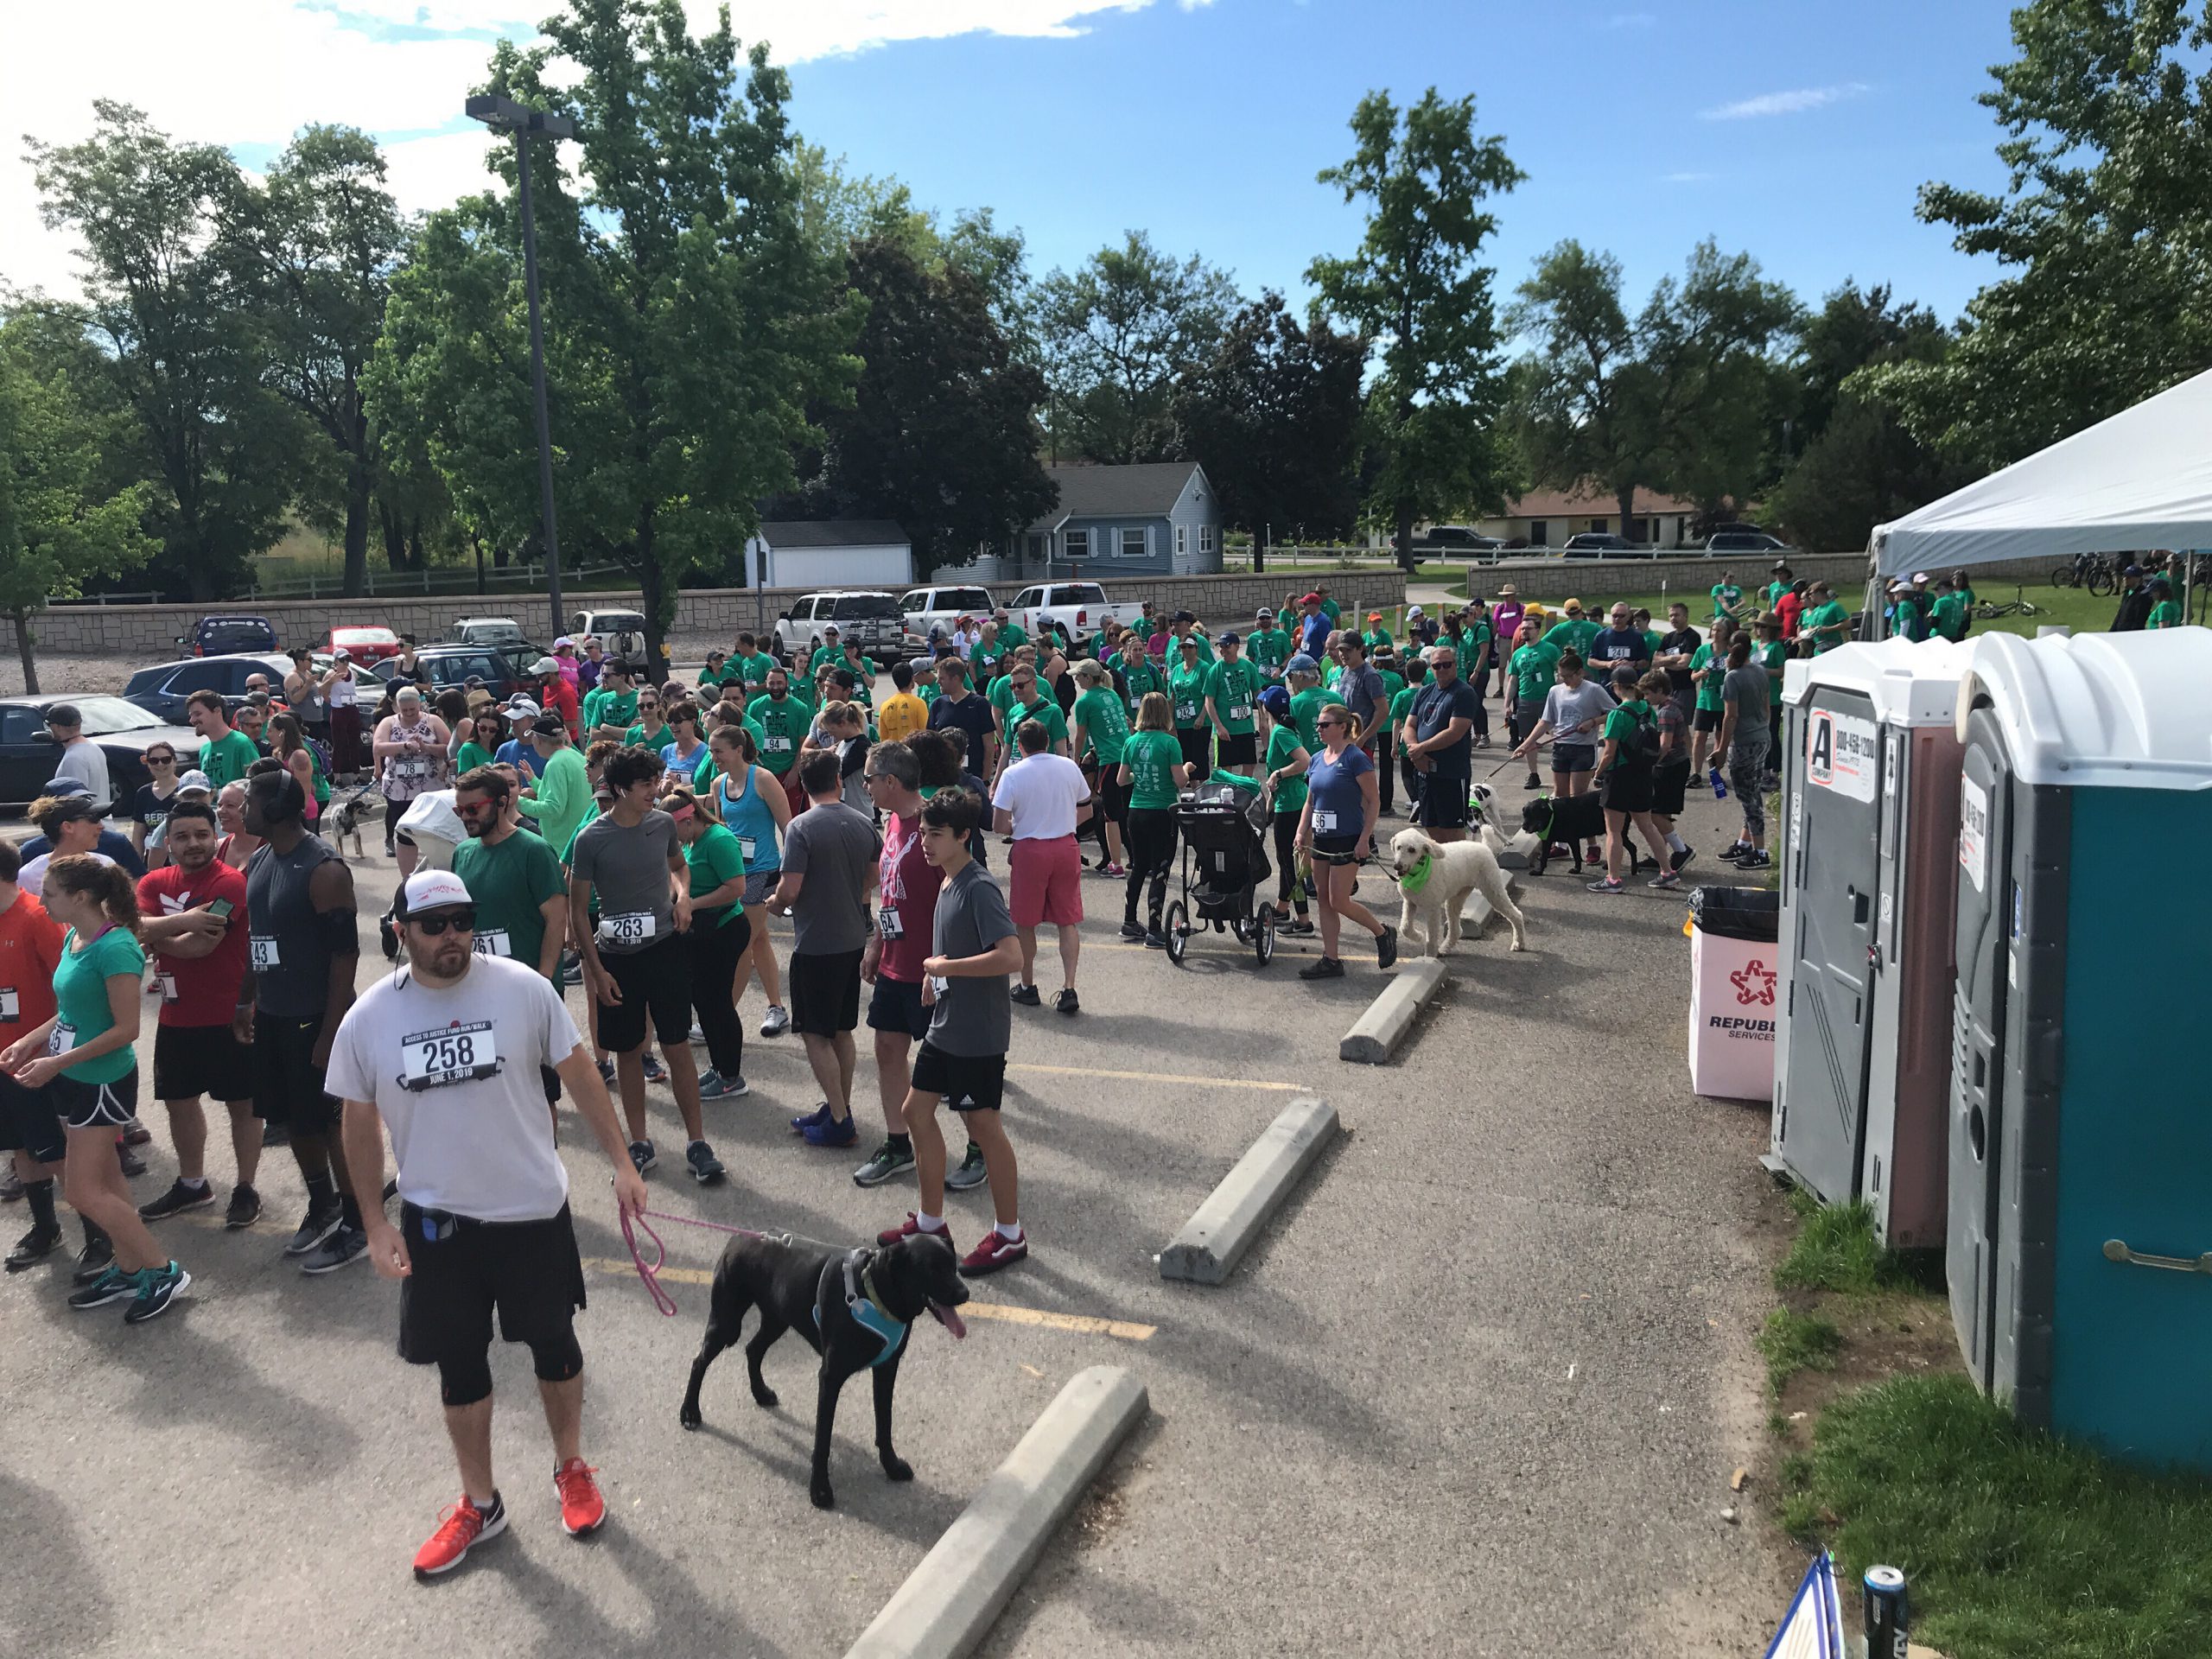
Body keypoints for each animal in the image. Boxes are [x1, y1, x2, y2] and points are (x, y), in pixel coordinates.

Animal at [672, 1238, 969, 1503]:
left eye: (954, 1265)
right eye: (931, 1269)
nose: (965, 1293)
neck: (874, 1293)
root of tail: (737, 1239)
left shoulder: (887, 1369)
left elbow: (885, 1424)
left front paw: (892, 1466)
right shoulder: (830, 1377)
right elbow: (823, 1439)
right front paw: (820, 1490)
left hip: (777, 1319)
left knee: (753, 1350)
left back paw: (760, 1393)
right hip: (727, 1323)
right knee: (699, 1362)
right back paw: (690, 1412)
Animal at [1389, 827, 1530, 955]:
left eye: (1412, 850)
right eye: (1398, 847)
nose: (1397, 866)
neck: (1418, 872)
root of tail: (1485, 847)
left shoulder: (1433, 908)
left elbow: (1432, 937)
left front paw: (1429, 956)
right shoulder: (1409, 902)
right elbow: (1405, 928)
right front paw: (1418, 936)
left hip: (1493, 889)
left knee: (1516, 915)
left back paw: (1519, 943)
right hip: (1457, 897)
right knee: (1456, 930)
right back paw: (1445, 948)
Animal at [1522, 796, 1645, 875]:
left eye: (1533, 814)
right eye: (1524, 815)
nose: (1523, 827)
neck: (1553, 815)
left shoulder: (1573, 839)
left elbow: (1577, 856)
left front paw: (1576, 869)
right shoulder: (1547, 840)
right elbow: (1543, 858)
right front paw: (1539, 871)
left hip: (1619, 831)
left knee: (1632, 848)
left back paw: (1634, 869)